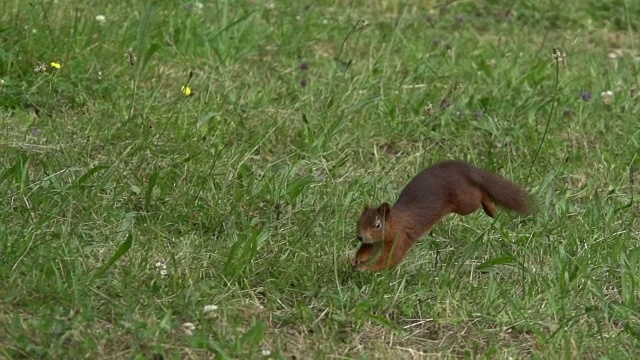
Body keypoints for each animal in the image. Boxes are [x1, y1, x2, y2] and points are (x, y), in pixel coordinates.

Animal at [352, 159, 528, 272]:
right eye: (358, 222)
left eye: (377, 225)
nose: (359, 237)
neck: (394, 223)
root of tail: (465, 170)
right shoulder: (374, 242)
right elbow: (367, 249)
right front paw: (357, 259)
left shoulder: (400, 237)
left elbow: (390, 259)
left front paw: (367, 268)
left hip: (465, 202)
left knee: (479, 193)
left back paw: (490, 207)